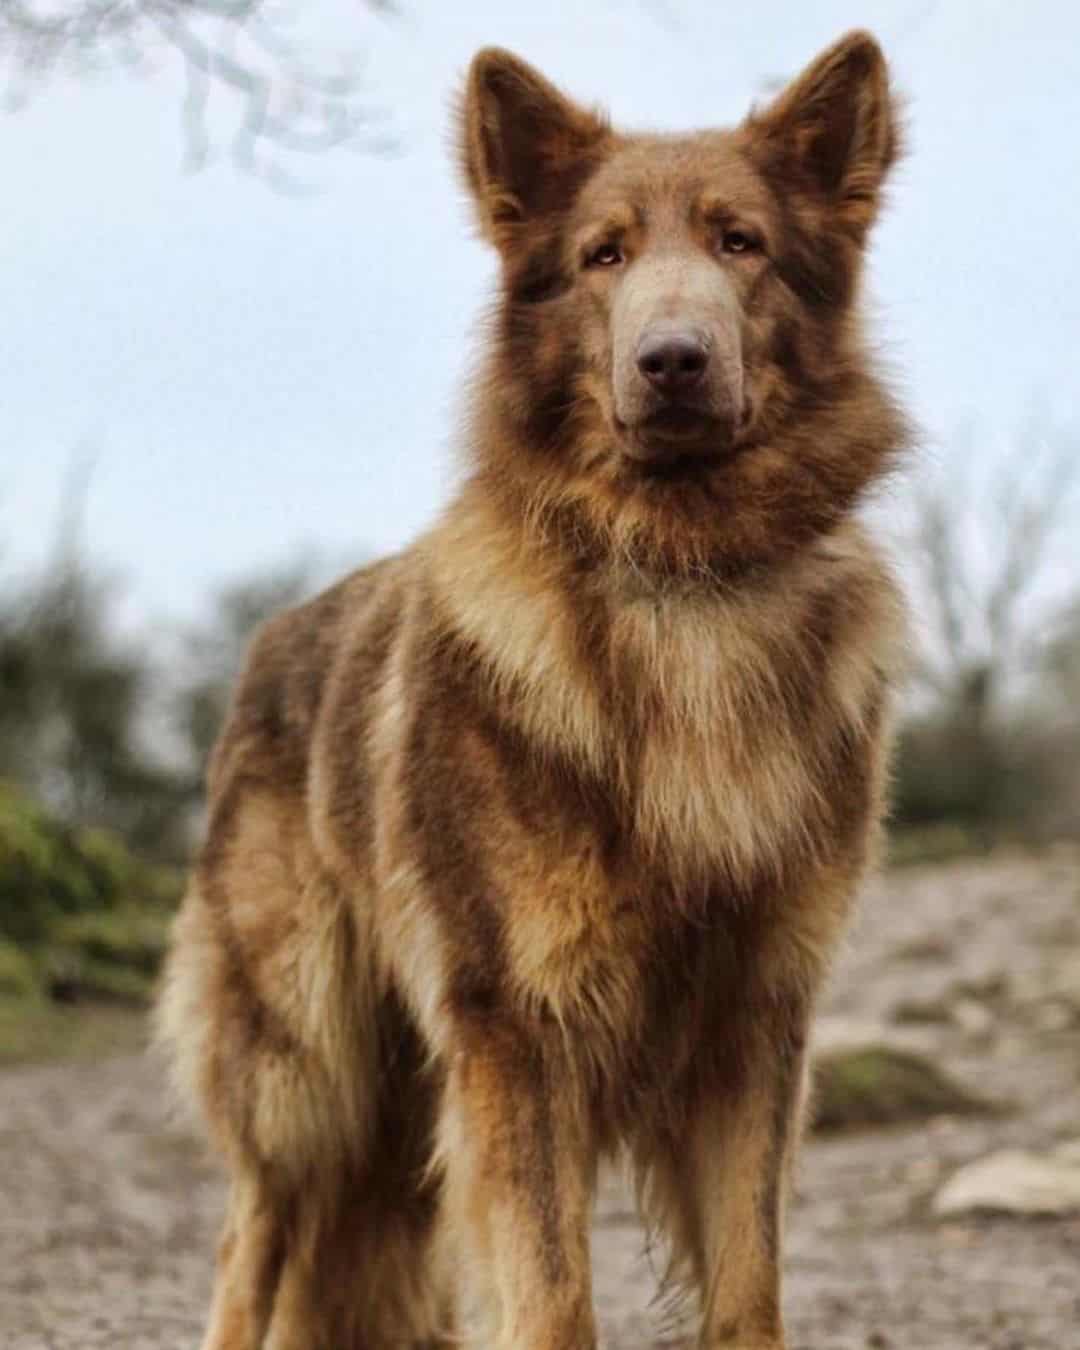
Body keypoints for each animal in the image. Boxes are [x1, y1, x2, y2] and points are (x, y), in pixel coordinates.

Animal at [155, 29, 907, 1350]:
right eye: (604, 254)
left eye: (740, 243)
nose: (672, 363)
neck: (682, 583)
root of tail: (272, 640)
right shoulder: (521, 1036)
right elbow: (552, 1300)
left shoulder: (754, 1027)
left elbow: (747, 1289)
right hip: (303, 1082)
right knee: (250, 1248)